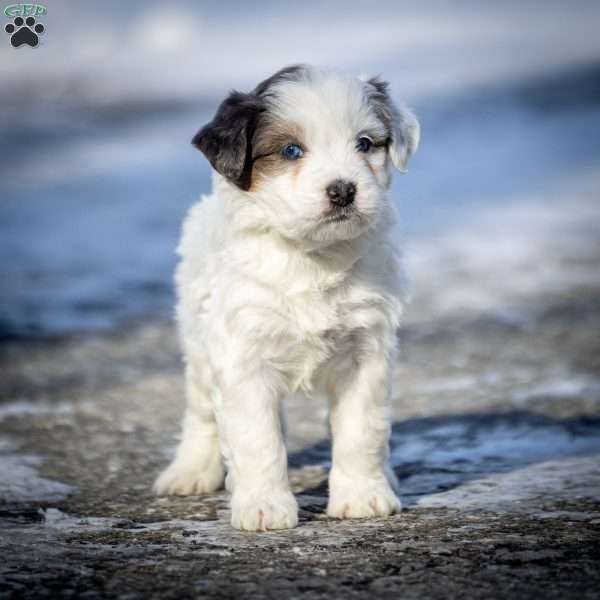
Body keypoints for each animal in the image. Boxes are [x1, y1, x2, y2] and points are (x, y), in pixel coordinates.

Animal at [152, 64, 420, 528]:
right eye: (292, 150)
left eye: (365, 144)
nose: (343, 190)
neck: (311, 256)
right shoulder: (242, 355)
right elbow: (257, 438)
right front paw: (264, 506)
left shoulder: (366, 352)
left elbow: (361, 430)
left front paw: (362, 496)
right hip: (198, 344)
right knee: (201, 413)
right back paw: (190, 471)